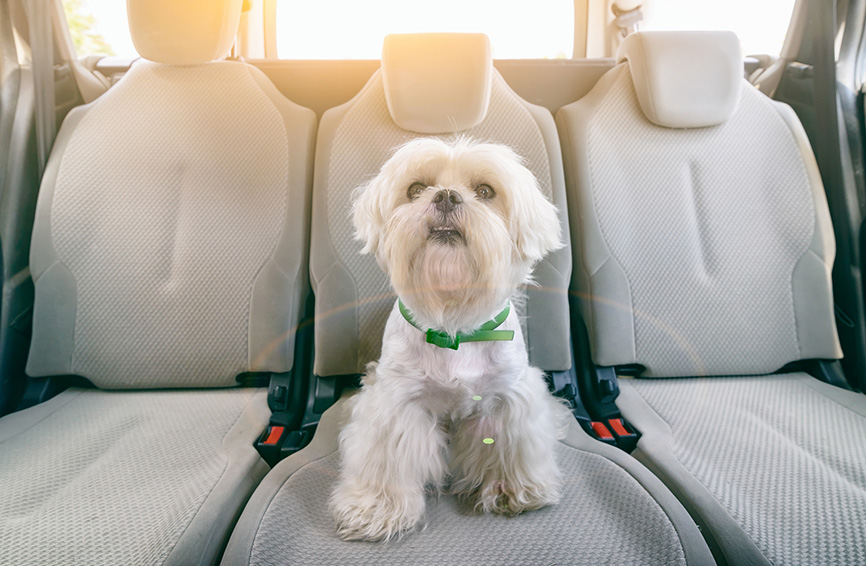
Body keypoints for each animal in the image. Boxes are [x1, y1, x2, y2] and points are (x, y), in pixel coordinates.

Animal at [330, 135, 568, 544]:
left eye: (485, 191)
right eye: (415, 189)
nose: (445, 196)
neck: (453, 325)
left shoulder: (506, 398)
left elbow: (508, 449)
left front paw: (511, 491)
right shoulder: (396, 404)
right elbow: (388, 461)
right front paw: (376, 509)